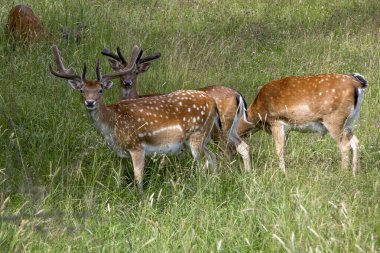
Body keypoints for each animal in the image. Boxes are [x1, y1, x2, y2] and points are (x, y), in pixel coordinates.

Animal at [49, 45, 223, 192]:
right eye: (82, 91)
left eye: (100, 90)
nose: (90, 102)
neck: (112, 124)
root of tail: (212, 102)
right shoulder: (118, 153)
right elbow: (117, 177)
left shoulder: (137, 146)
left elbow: (138, 178)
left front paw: (140, 198)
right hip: (200, 138)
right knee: (212, 158)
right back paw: (214, 183)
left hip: (198, 134)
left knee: (203, 163)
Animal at [100, 46, 252, 171]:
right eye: (119, 71)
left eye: (137, 71)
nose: (127, 82)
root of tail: (238, 95)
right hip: (231, 128)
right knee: (243, 147)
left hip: (221, 128)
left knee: (228, 151)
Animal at [238, 73, 368, 175]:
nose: (246, 172)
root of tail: (358, 84)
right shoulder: (287, 129)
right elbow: (284, 148)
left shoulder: (276, 122)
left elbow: (279, 150)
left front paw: (282, 173)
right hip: (349, 122)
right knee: (355, 142)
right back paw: (354, 172)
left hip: (334, 119)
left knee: (345, 145)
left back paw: (343, 173)